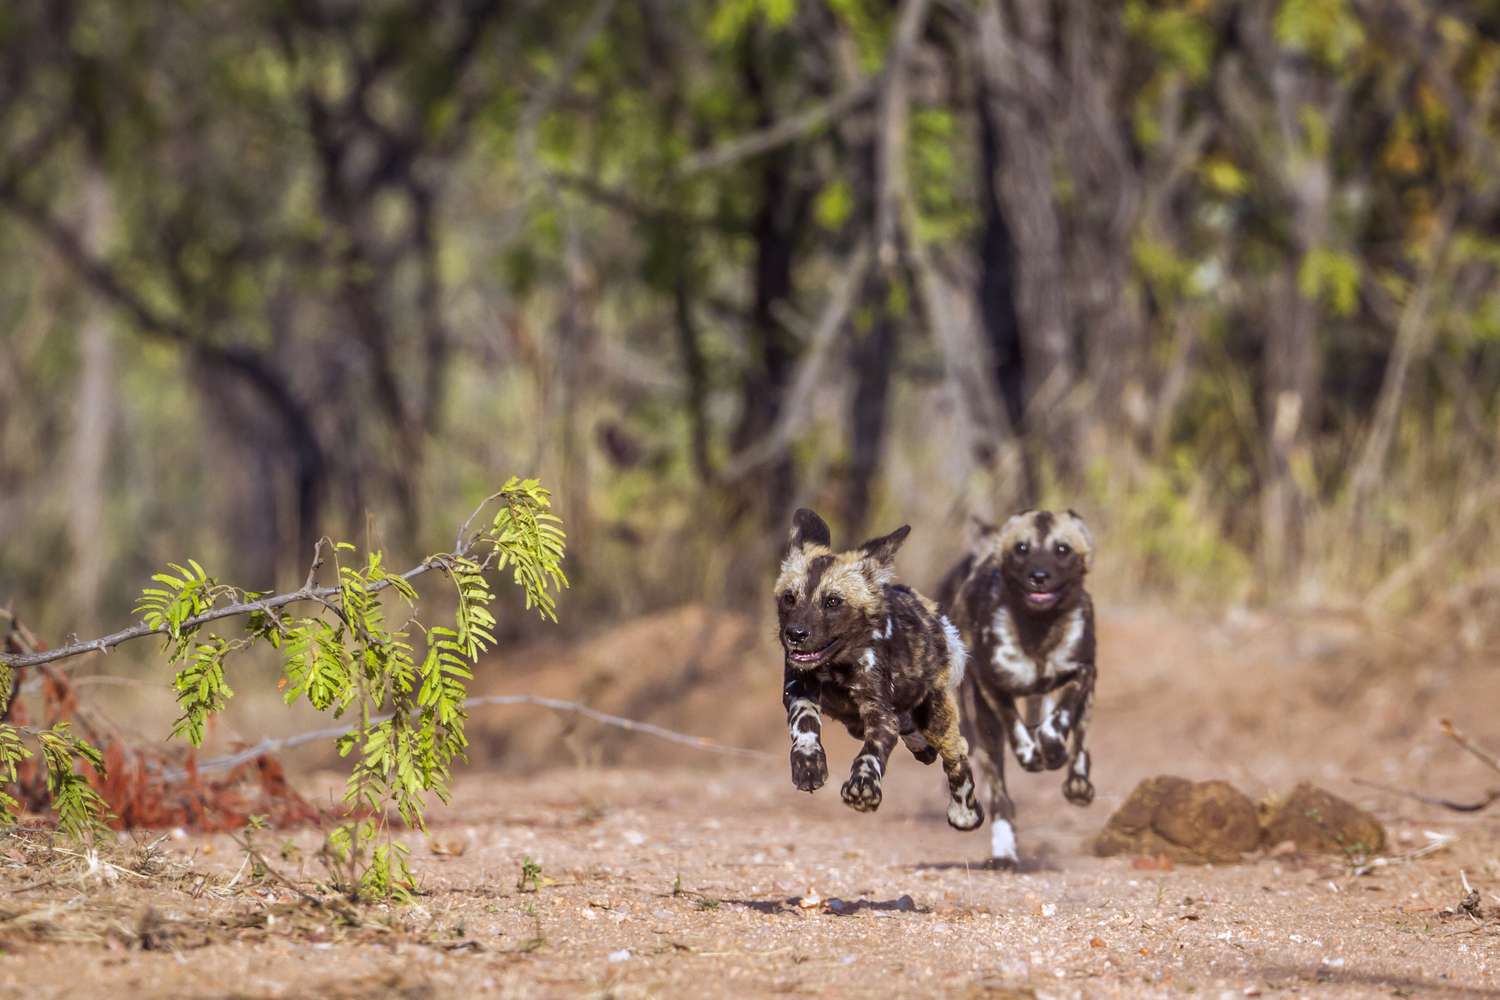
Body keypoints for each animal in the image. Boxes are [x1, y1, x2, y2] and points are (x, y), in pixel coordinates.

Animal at [774, 512, 984, 833]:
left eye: (833, 601)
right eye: (789, 598)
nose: (795, 634)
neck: (837, 666)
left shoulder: (879, 712)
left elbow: (872, 751)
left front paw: (863, 787)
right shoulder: (799, 691)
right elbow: (804, 723)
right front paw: (808, 763)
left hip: (935, 718)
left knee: (956, 757)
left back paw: (965, 814)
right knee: (912, 731)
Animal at [936, 509, 1104, 869]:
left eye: (1062, 549)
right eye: (1022, 549)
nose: (1038, 576)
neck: (1038, 631)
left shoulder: (1082, 674)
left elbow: (1059, 725)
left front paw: (1053, 751)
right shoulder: (992, 687)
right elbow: (1017, 729)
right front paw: (1031, 753)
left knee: (1080, 737)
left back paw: (1077, 782)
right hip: (980, 734)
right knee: (1000, 796)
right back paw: (1004, 853)